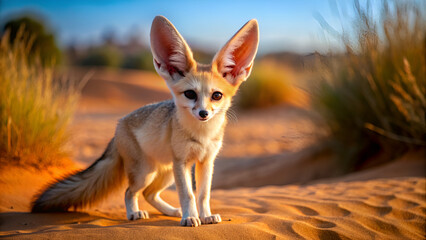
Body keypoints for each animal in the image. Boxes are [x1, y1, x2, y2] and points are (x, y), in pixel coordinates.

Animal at [31, 15, 258, 227]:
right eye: (190, 94)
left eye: (216, 96)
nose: (203, 113)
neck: (202, 135)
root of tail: (119, 125)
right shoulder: (182, 162)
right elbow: (188, 194)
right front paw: (190, 218)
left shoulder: (205, 161)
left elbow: (202, 195)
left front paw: (205, 216)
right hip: (147, 172)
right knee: (130, 191)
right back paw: (134, 214)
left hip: (165, 172)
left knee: (149, 193)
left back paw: (171, 211)